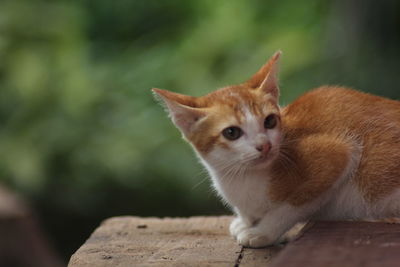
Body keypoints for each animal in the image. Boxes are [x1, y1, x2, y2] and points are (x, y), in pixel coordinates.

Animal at [152, 51, 400, 248]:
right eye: (232, 132)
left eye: (269, 121)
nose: (265, 145)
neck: (241, 179)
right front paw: (244, 222)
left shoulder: (340, 153)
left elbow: (292, 206)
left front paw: (262, 232)